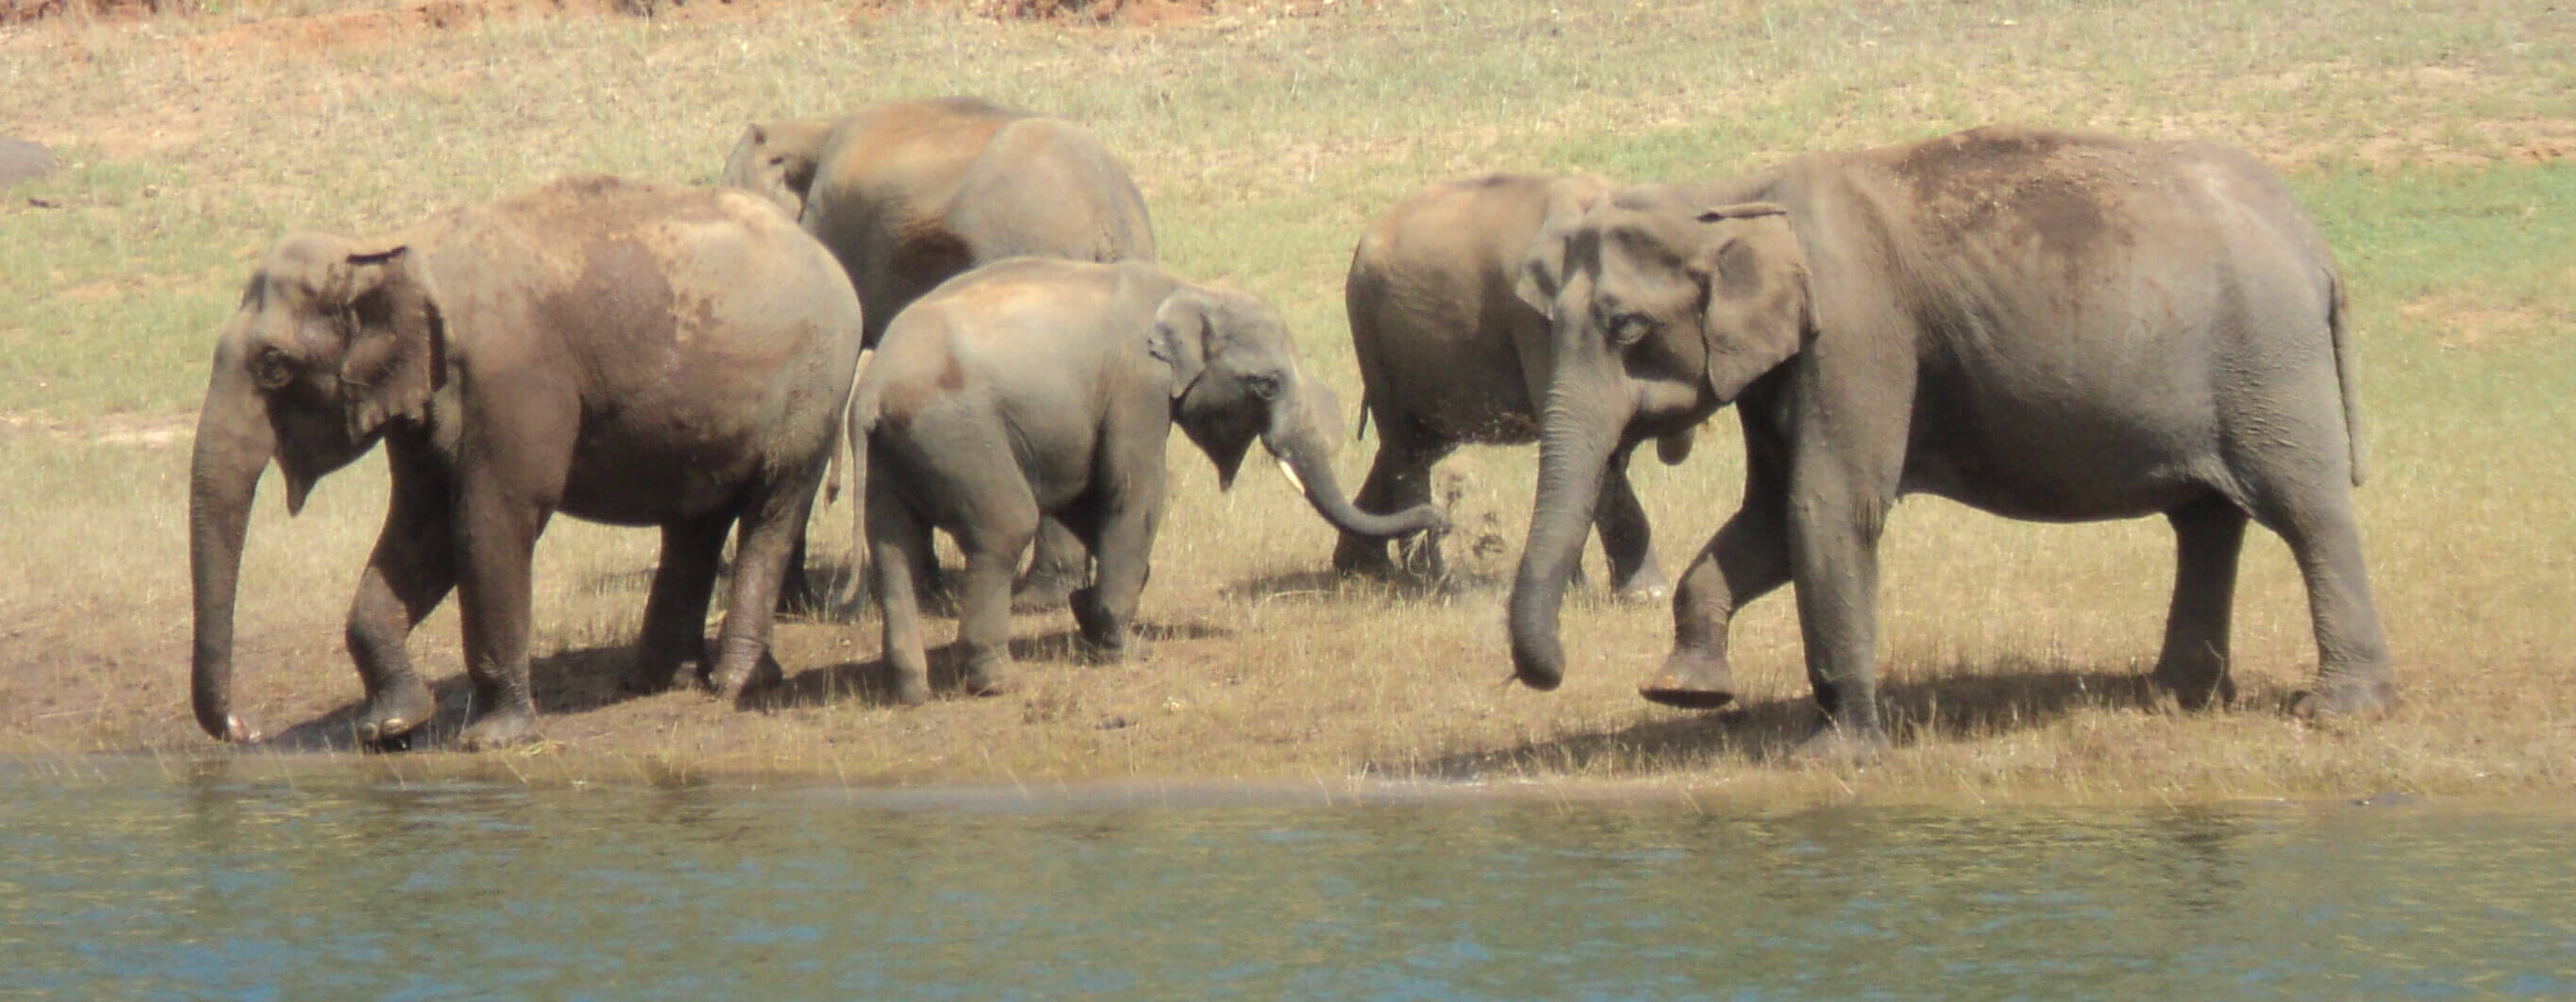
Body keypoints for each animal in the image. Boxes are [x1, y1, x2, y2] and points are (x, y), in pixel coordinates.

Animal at [186, 174, 865, 752]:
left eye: (275, 367)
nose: (243, 728)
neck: (389, 248)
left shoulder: (512, 379)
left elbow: (491, 520)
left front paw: (495, 741)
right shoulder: (427, 400)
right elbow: (420, 531)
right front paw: (391, 728)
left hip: (813, 387)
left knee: (773, 509)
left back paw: (733, 683)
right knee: (694, 525)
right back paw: (653, 682)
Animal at [860, 256, 1452, 700]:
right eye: (1266, 384)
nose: (1443, 520)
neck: (1187, 289)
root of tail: (873, 393)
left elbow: (1087, 498)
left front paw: (1092, 619)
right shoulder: (1137, 385)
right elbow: (1132, 488)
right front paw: (1127, 649)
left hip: (896, 456)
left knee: (892, 548)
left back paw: (910, 691)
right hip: (959, 438)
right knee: (1005, 527)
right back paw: (997, 681)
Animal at [1339, 171, 1699, 592]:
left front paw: (1576, 588)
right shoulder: (1534, 319)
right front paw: (1646, 595)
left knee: (1417, 444)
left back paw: (1363, 569)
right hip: (1370, 330)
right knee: (1406, 447)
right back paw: (1433, 581)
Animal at [1504, 128, 2390, 762]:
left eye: (1626, 329)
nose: (1544, 672)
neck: (1732, 195)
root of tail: (2314, 245)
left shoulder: (1858, 332)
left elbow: (1826, 507)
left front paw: (1835, 755)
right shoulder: (1783, 362)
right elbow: (1767, 519)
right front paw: (1685, 694)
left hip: (2269, 362)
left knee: (2306, 514)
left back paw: (2338, 711)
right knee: (2205, 520)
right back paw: (2173, 698)